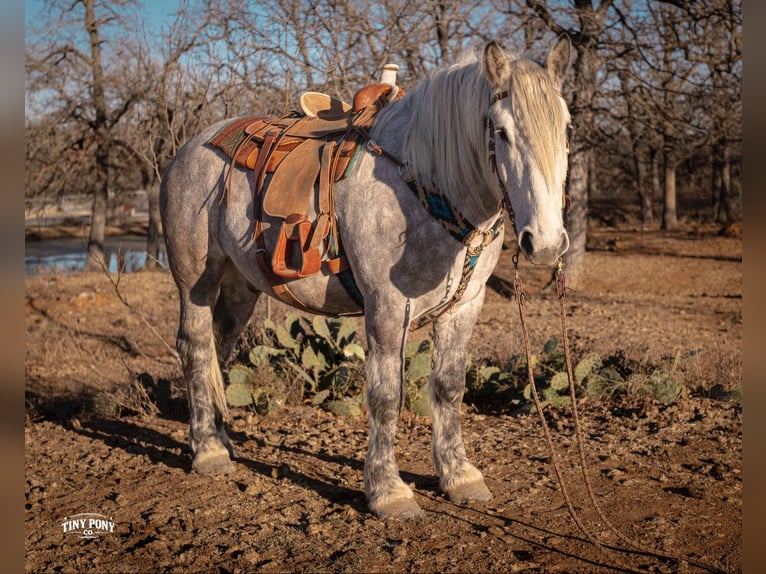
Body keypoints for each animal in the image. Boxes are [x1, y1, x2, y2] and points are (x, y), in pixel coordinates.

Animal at [160, 37, 572, 519]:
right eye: (501, 131)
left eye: (566, 129)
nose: (544, 242)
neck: (424, 182)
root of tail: (190, 147)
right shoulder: (388, 308)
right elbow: (385, 396)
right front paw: (387, 489)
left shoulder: (465, 308)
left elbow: (449, 387)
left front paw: (459, 475)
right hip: (196, 281)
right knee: (196, 348)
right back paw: (206, 450)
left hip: (241, 286)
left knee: (219, 349)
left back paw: (221, 438)